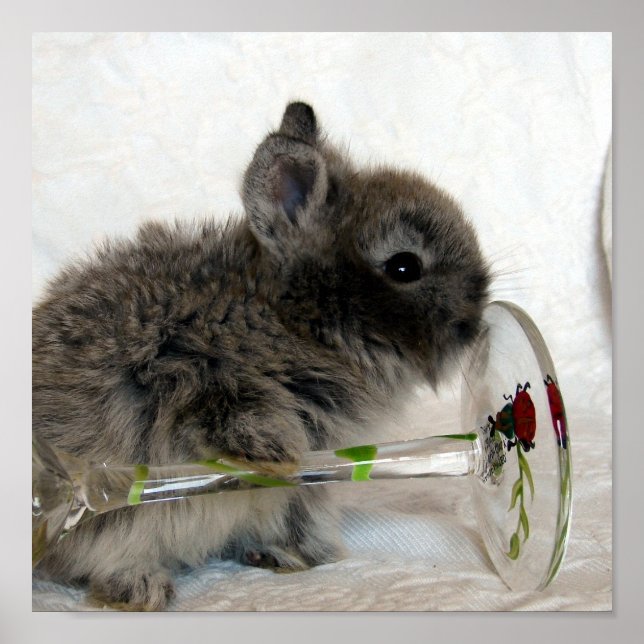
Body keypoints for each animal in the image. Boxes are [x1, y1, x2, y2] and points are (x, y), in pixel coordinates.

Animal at [32, 102, 490, 610]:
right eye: (404, 267)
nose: (474, 323)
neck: (295, 318)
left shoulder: (309, 483)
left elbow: (296, 511)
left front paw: (298, 555)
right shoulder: (187, 368)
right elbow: (231, 417)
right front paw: (277, 455)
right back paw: (141, 586)